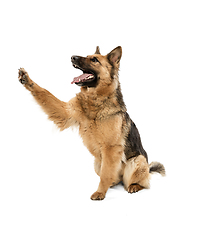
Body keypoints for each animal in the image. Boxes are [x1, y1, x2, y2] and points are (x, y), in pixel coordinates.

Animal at [18, 46, 166, 200]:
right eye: (87, 56)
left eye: (94, 60)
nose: (72, 57)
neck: (95, 98)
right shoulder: (65, 112)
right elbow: (45, 93)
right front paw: (27, 80)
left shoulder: (111, 148)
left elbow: (105, 175)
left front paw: (100, 192)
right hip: (97, 162)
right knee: (115, 178)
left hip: (137, 160)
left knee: (142, 181)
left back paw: (134, 186)